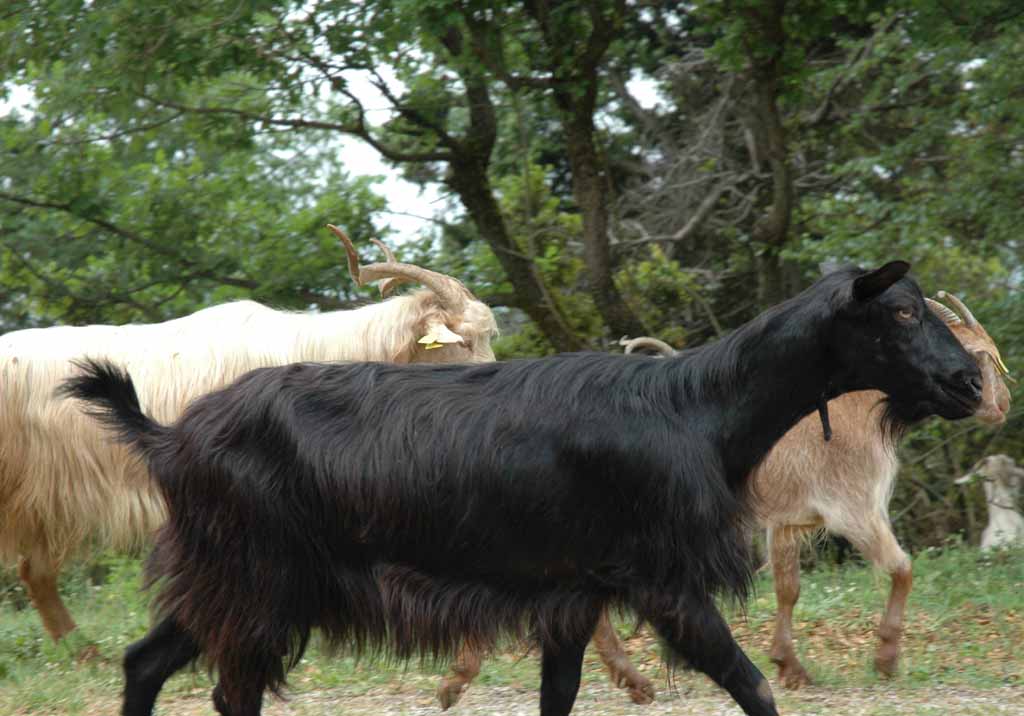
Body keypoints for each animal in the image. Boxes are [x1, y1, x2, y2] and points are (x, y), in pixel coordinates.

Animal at [63, 261, 984, 716]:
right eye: (901, 312)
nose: (969, 384)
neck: (698, 406)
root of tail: (169, 433)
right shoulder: (666, 581)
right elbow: (750, 684)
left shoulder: (572, 593)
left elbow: (560, 697)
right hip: (258, 577)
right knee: (232, 691)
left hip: (232, 577)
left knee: (149, 663)